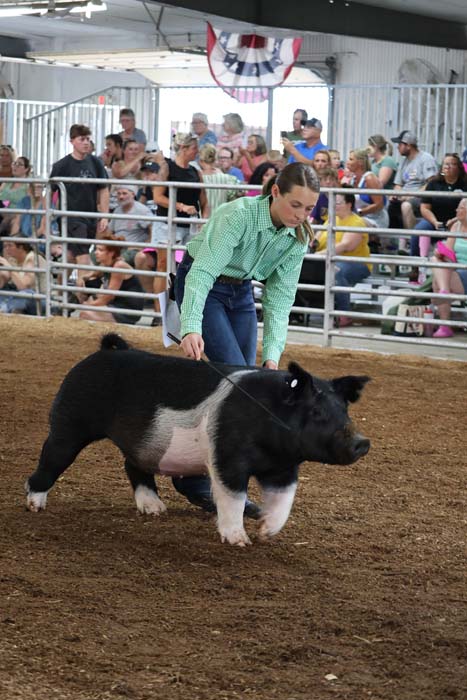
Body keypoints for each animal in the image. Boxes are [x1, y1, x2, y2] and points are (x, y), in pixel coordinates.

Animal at [25, 334, 370, 546]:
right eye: (316, 411)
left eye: (343, 409)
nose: (362, 442)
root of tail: (103, 351)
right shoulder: (227, 457)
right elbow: (232, 497)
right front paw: (239, 541)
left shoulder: (283, 468)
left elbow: (283, 502)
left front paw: (265, 530)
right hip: (69, 423)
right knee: (50, 458)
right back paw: (34, 506)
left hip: (142, 444)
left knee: (132, 466)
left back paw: (155, 510)